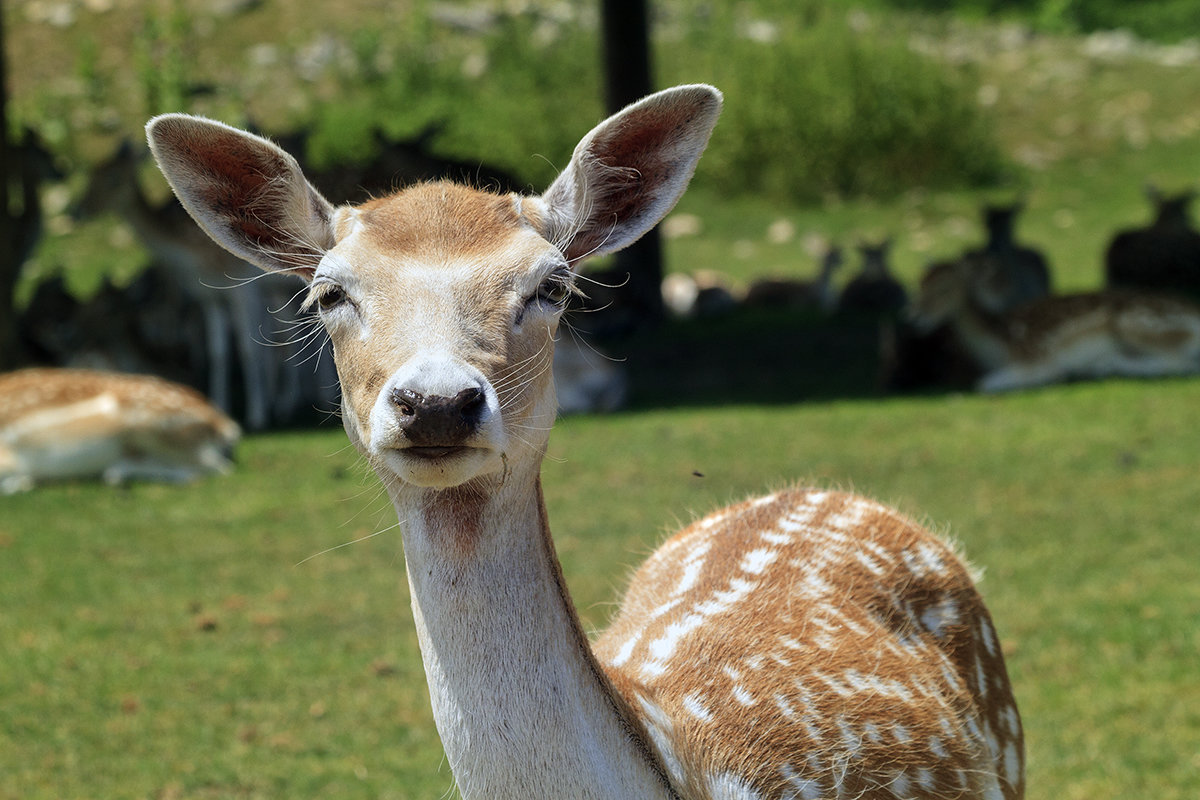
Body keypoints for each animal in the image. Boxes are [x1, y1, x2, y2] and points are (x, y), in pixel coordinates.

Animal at [907, 255, 1200, 393]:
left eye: (945, 290)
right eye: (919, 284)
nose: (914, 317)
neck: (1000, 345)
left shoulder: (1038, 358)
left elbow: (985, 384)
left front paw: (1058, 376)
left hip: (1137, 323)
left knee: (1179, 363)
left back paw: (1103, 366)